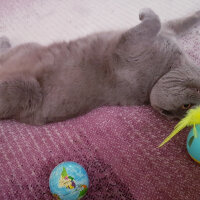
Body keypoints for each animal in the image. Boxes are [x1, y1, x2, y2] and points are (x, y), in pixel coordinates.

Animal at [0, 8, 200, 125]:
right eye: (187, 105)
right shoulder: (165, 31)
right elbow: (179, 21)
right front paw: (196, 13)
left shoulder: (130, 43)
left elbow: (155, 21)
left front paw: (145, 12)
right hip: (28, 48)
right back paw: (5, 39)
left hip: (26, 88)